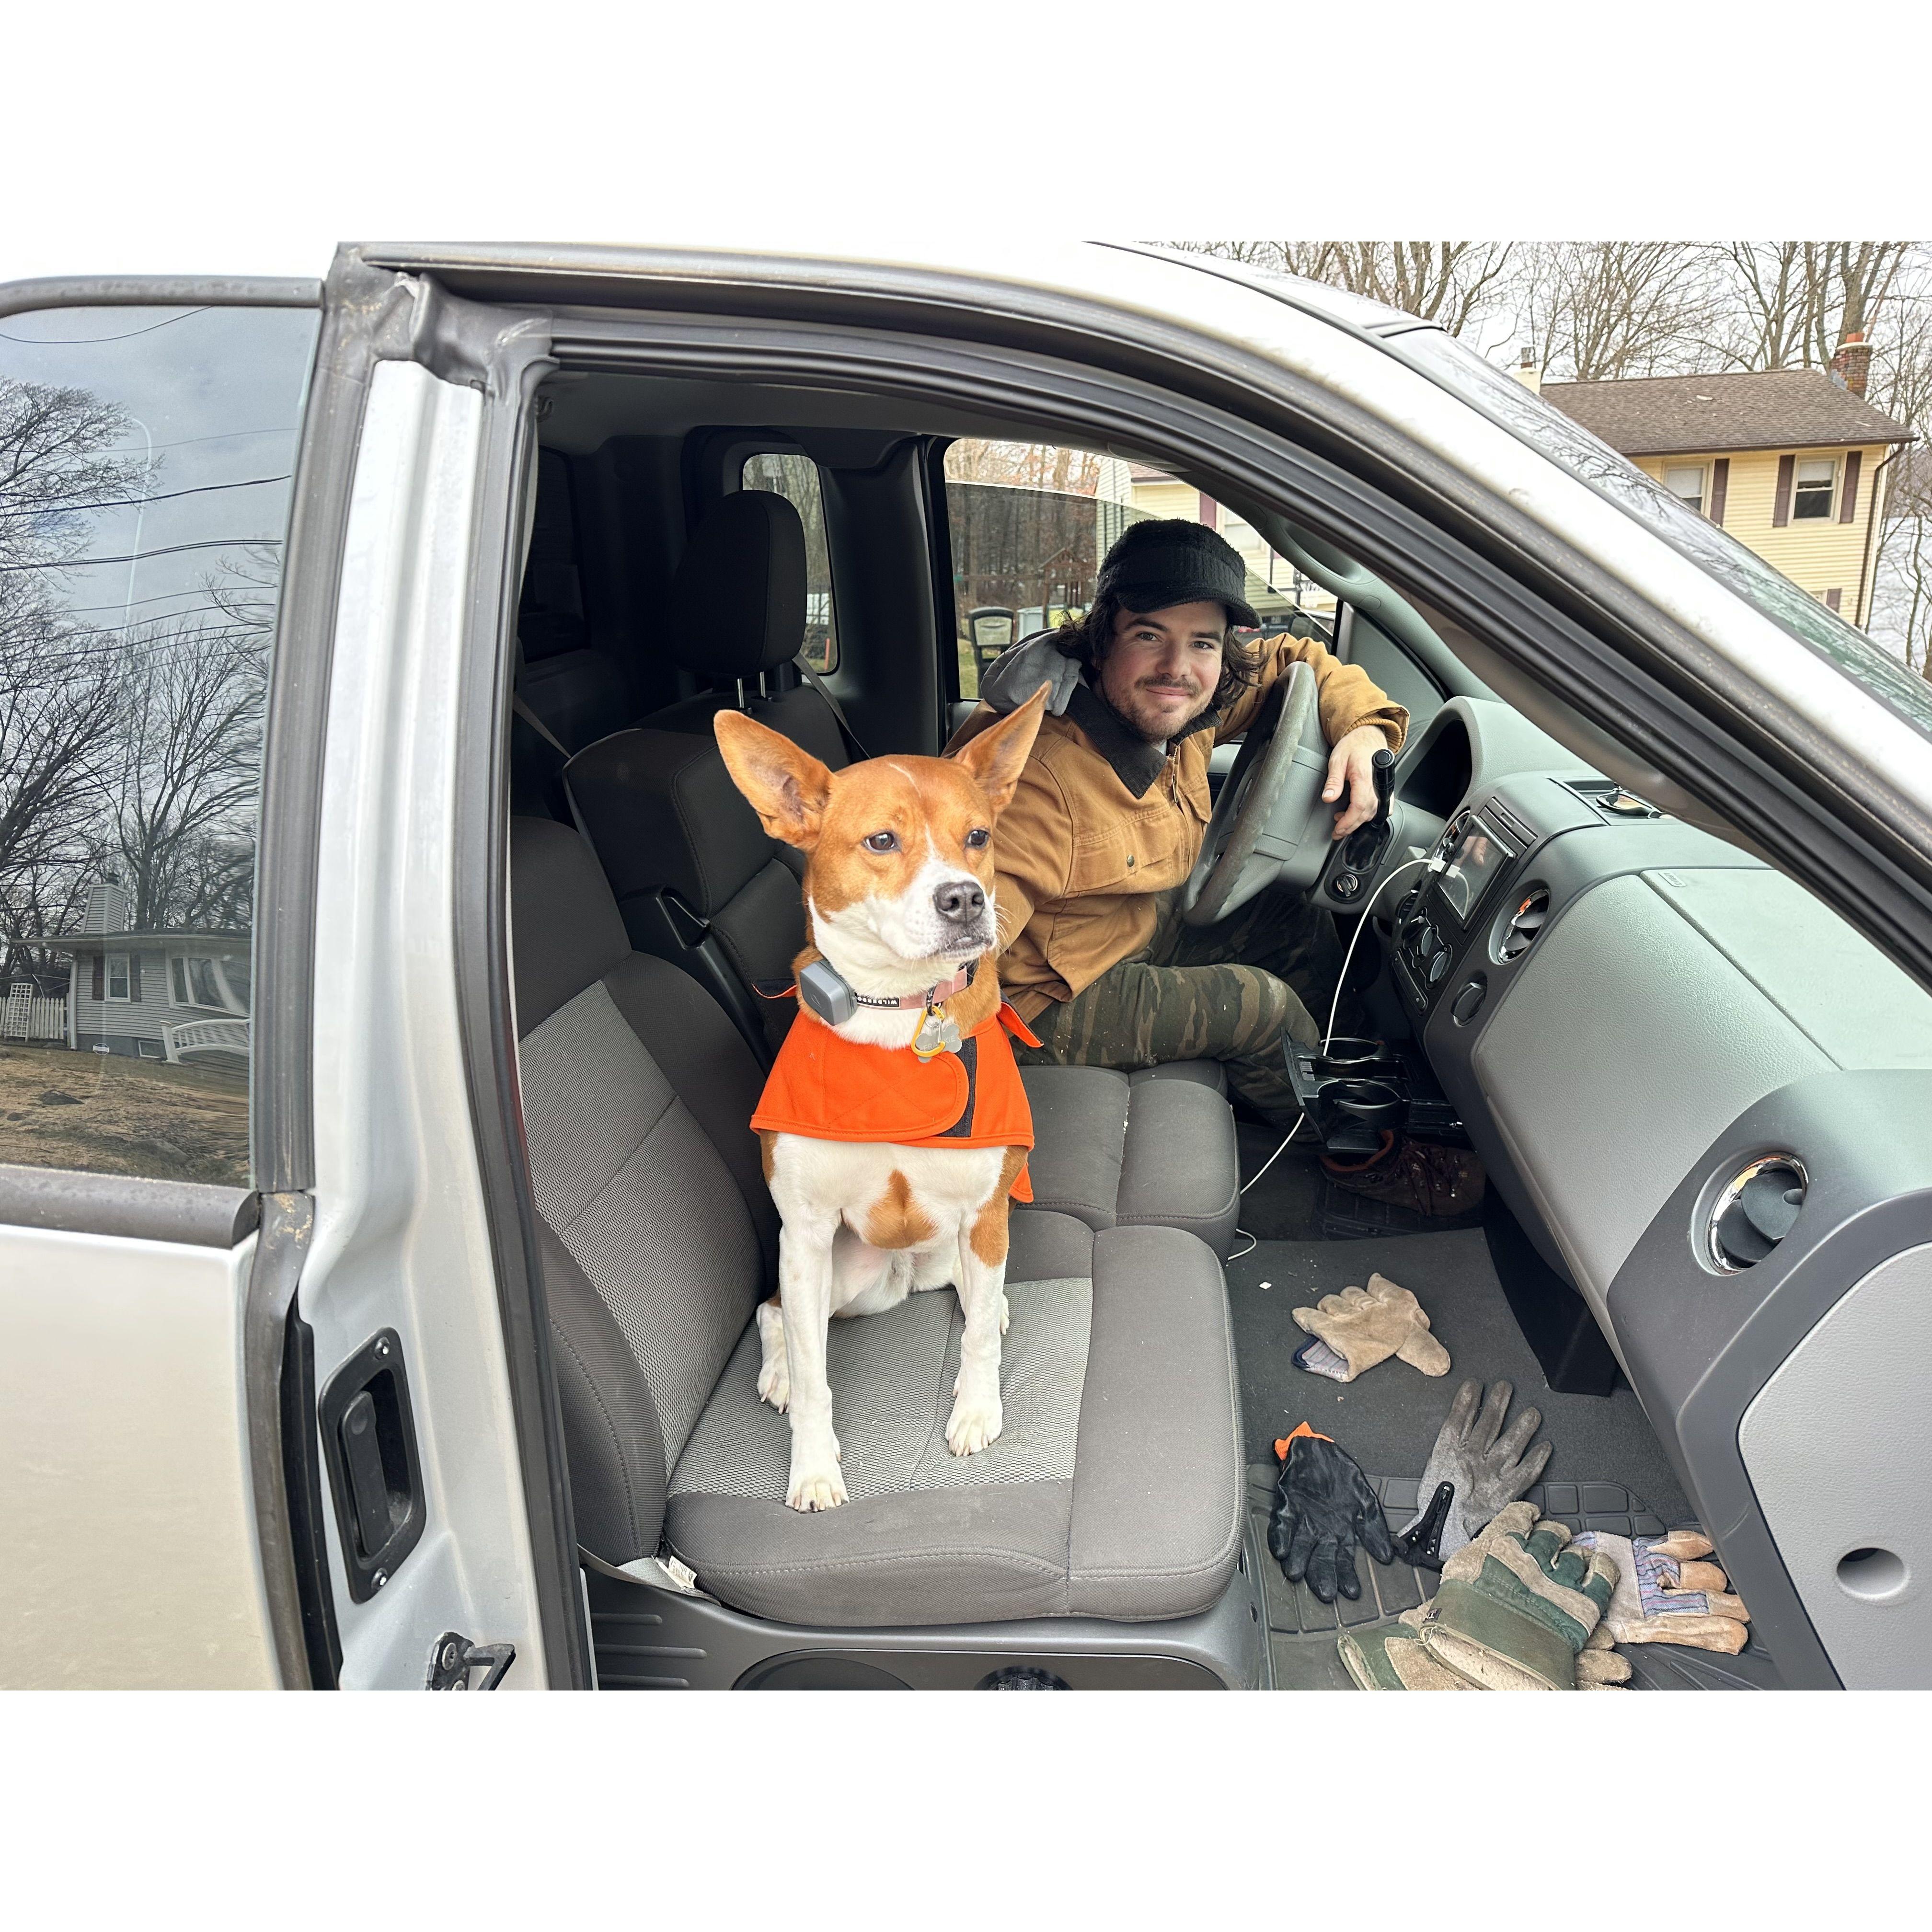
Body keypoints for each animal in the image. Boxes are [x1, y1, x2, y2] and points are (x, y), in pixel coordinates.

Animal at [714, 691, 1051, 1506]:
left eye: (978, 836)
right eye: (881, 840)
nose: (964, 897)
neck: (900, 1012)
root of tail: (903, 1273)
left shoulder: (986, 1216)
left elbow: (974, 1339)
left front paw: (976, 1411)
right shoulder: (804, 1235)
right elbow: (815, 1377)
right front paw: (813, 1468)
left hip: (954, 1248)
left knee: (975, 1297)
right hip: (840, 1278)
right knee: (777, 1314)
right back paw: (776, 1369)